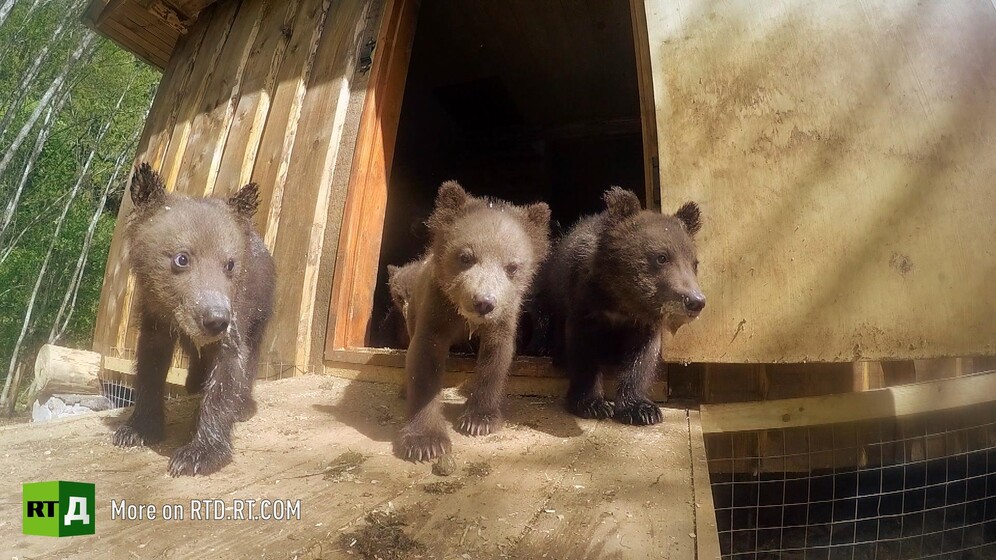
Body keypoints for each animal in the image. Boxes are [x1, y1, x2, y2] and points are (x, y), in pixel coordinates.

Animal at [112, 163, 276, 477]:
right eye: (182, 258)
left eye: (230, 263)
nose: (216, 320)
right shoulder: (155, 317)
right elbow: (150, 365)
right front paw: (137, 429)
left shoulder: (236, 316)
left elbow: (227, 373)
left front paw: (199, 453)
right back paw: (194, 383)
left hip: (262, 308)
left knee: (252, 353)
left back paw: (243, 405)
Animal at [394, 181, 550, 461]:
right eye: (465, 257)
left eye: (512, 267)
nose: (484, 303)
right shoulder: (437, 307)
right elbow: (424, 359)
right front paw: (425, 442)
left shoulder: (505, 315)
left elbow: (496, 356)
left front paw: (478, 420)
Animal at [542, 187, 703, 425]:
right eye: (661, 257)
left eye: (694, 263)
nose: (695, 301)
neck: (622, 299)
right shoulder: (585, 306)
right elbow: (582, 352)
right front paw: (592, 404)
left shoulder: (644, 323)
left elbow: (642, 358)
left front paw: (642, 409)